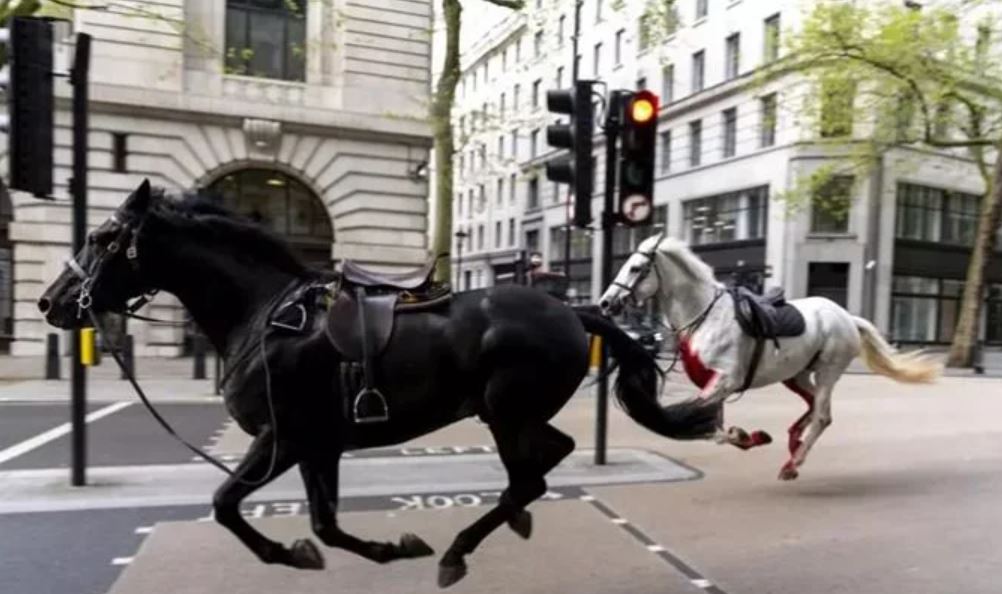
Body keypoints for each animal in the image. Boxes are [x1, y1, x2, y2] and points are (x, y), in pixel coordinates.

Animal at [37, 179, 713, 584]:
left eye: (101, 237)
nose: (51, 302)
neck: (263, 314)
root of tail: (573, 311)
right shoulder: (317, 444)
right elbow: (322, 524)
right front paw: (368, 549)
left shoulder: (284, 438)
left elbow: (228, 504)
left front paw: (296, 553)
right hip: (510, 413)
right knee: (547, 460)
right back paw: (509, 521)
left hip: (504, 412)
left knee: (530, 475)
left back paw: (459, 551)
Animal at [597, 234, 941, 478]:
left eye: (636, 268)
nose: (605, 303)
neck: (706, 317)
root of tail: (846, 317)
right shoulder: (714, 385)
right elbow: (711, 426)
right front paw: (747, 436)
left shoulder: (725, 380)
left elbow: (683, 420)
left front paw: (747, 435)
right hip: (797, 374)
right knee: (813, 406)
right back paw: (793, 442)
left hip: (828, 371)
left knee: (822, 416)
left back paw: (793, 463)